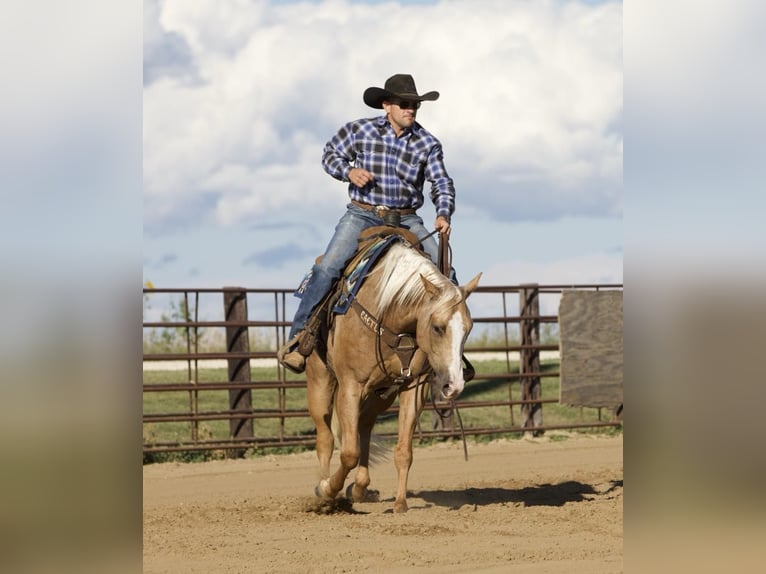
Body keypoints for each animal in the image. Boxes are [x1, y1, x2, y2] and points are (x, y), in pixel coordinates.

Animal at [304, 236, 480, 516]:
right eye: (437, 327)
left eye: (468, 329)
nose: (454, 385)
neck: (389, 315)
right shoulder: (351, 385)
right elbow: (349, 452)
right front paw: (328, 490)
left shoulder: (413, 386)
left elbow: (404, 451)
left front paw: (400, 503)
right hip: (320, 380)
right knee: (325, 437)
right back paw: (324, 491)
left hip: (381, 394)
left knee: (364, 425)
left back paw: (360, 487)